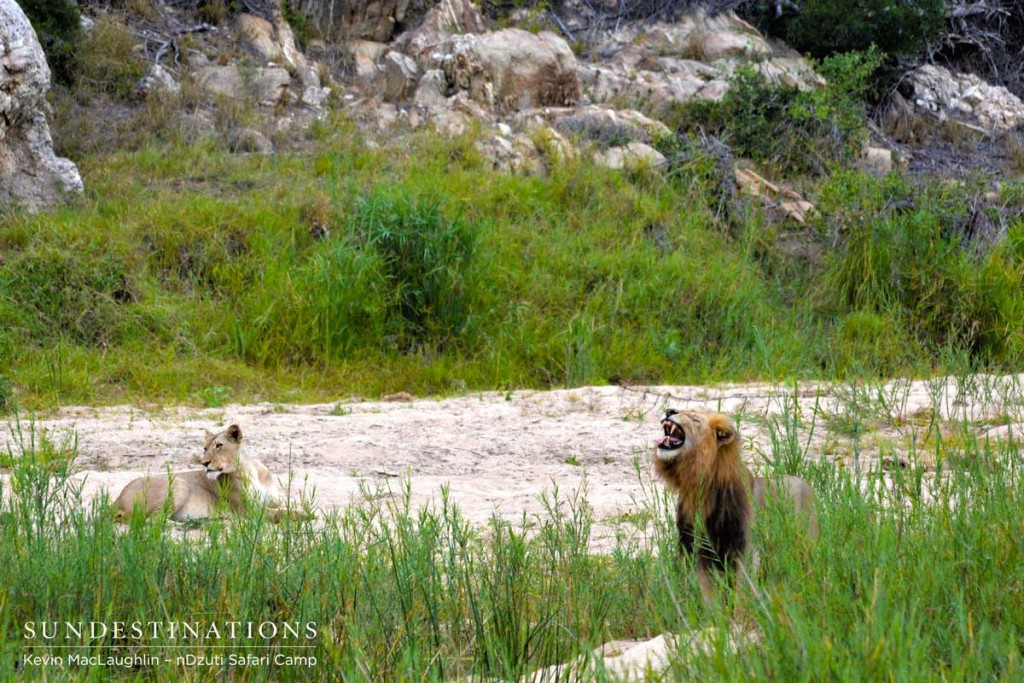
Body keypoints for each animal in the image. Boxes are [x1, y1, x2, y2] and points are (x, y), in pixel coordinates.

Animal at [113, 423, 284, 520]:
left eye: (219, 445)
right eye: (205, 448)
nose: (204, 463)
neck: (250, 470)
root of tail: (118, 497)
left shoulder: (273, 500)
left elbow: (284, 504)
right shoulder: (249, 509)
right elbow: (282, 513)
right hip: (179, 483)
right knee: (153, 520)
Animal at [655, 411, 815, 610]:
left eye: (694, 418)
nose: (669, 411)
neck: (702, 487)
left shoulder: (745, 548)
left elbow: (741, 594)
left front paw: (740, 616)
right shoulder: (698, 549)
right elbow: (707, 594)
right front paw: (713, 616)